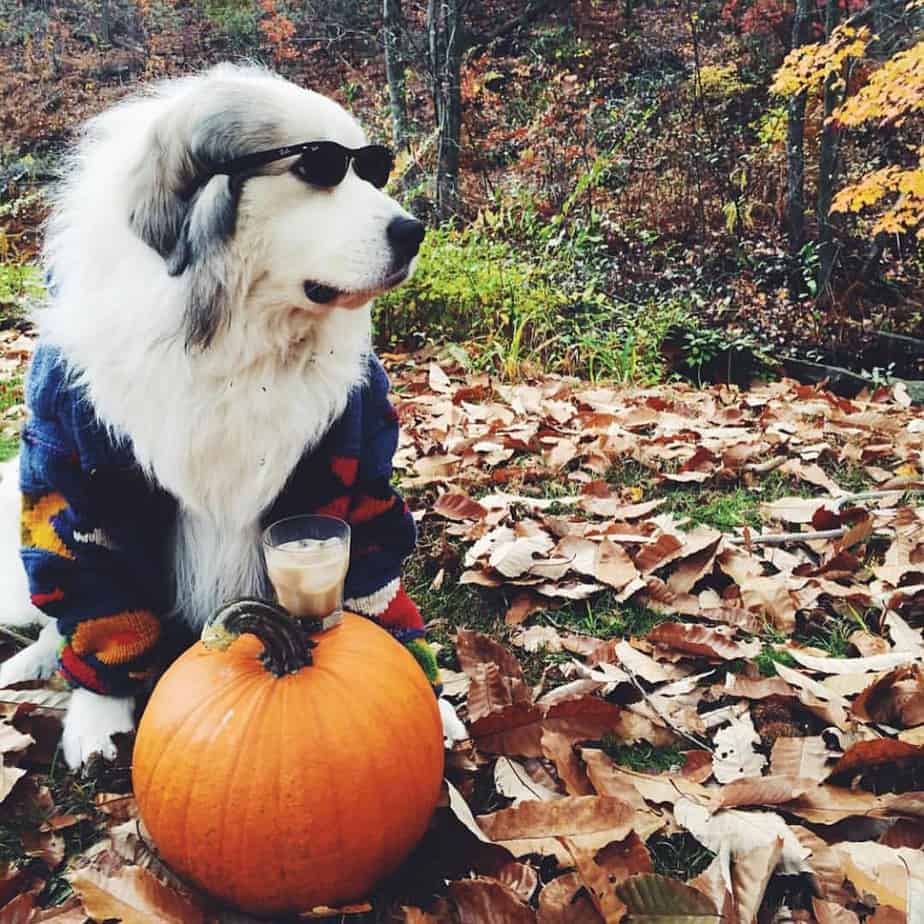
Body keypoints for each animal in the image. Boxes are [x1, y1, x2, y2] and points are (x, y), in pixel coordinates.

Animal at [0, 65, 462, 768]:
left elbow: (368, 573)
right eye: (318, 168)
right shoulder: (79, 473)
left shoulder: (351, 459)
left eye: (372, 169)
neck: (236, 344)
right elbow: (100, 597)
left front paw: (422, 692)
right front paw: (98, 711)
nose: (414, 232)